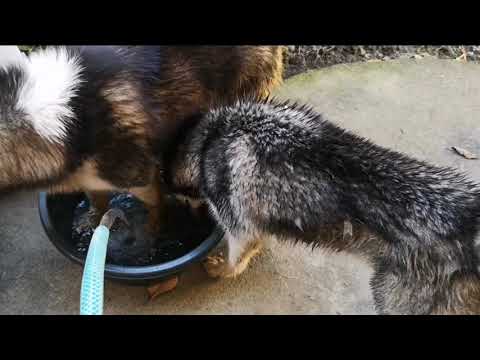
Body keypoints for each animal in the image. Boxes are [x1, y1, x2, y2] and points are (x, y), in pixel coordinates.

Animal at [0, 45, 284, 236]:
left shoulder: (140, 175)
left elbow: (155, 203)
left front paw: (153, 230)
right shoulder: (93, 179)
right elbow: (98, 202)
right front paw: (93, 223)